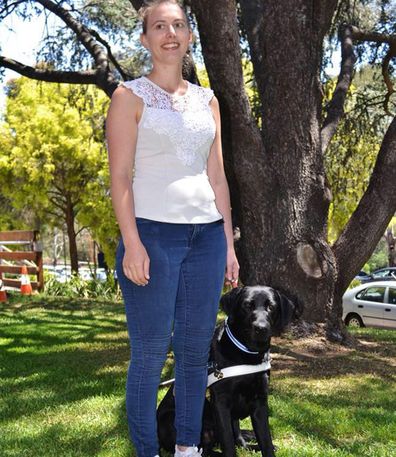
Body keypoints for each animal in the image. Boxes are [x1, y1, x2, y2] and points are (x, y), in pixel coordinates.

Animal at [156, 284, 302, 456]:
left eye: (271, 307)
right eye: (247, 305)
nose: (261, 328)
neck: (247, 355)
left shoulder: (260, 402)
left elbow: (265, 440)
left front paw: (265, 446)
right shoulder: (221, 403)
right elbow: (228, 443)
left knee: (238, 441)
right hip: (178, 420)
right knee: (207, 449)